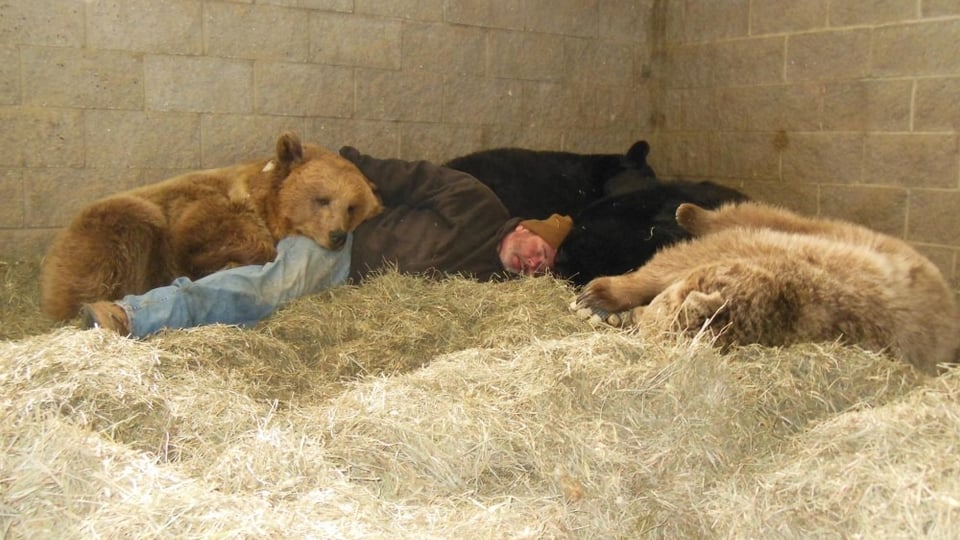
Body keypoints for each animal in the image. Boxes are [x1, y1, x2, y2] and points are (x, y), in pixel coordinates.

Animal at [42, 132, 382, 320]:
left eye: (352, 207)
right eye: (323, 199)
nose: (337, 236)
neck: (263, 204)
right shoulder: (200, 208)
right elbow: (208, 236)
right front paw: (226, 260)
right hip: (109, 228)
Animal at [576, 200, 960, 374]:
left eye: (656, 317)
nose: (637, 318)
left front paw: (602, 299)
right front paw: (600, 294)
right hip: (838, 234)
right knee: (760, 214)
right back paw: (690, 212)